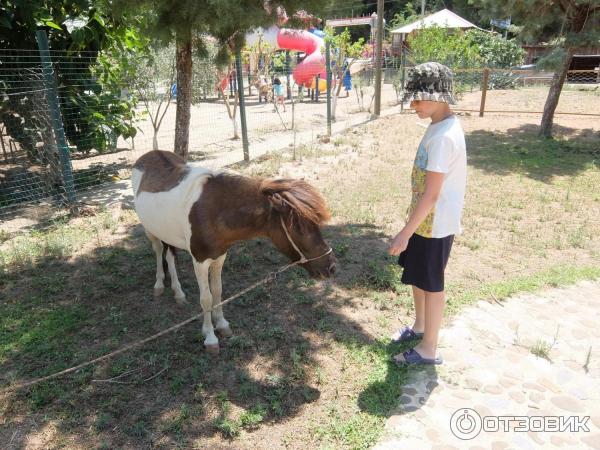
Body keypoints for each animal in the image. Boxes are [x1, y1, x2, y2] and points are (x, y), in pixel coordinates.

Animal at [132, 150, 338, 352]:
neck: (213, 212)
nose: (331, 267)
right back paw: (160, 285)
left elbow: (217, 291)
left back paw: (178, 293)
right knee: (160, 251)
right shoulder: (199, 261)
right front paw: (210, 337)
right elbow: (206, 298)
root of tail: (149, 155)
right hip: (151, 231)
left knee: (169, 255)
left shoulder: (219, 256)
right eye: (299, 227)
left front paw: (222, 324)